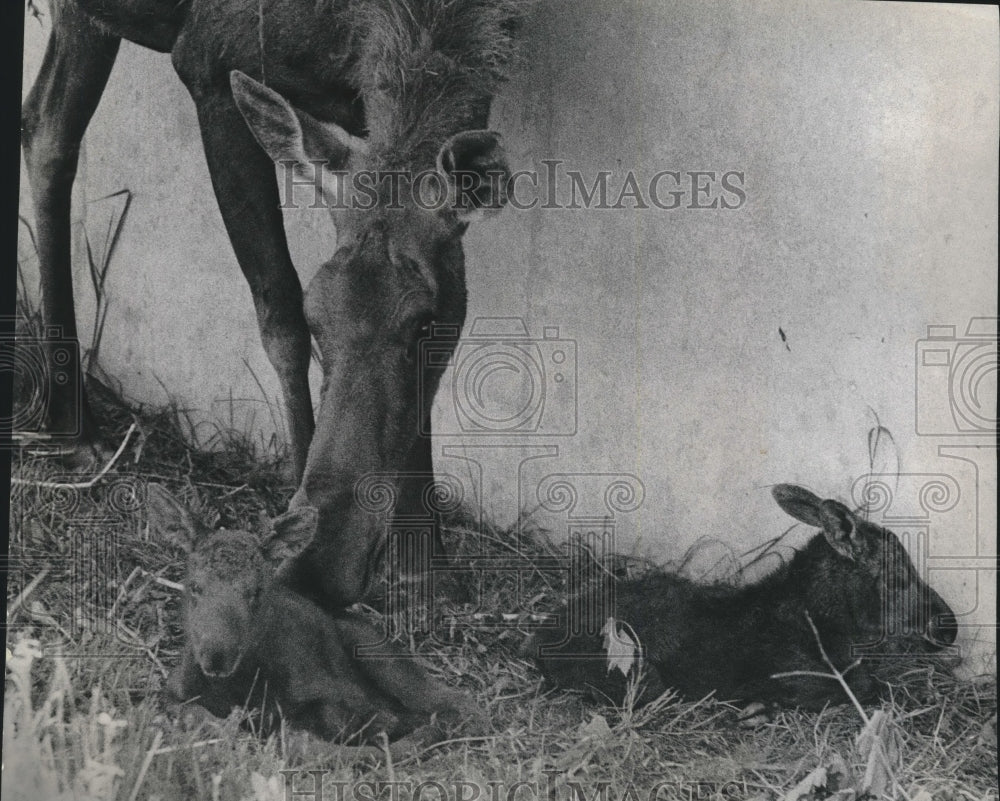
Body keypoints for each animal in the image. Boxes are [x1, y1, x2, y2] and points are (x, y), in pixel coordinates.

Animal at [23, 0, 528, 604]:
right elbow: (278, 312)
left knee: (42, 125)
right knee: (50, 130)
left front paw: (423, 560)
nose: (328, 558)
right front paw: (299, 514)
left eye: (426, 321)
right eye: (318, 316)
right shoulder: (208, 63)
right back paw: (78, 432)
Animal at [148, 484, 484, 752]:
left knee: (458, 704)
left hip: (382, 658)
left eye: (257, 590)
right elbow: (205, 719)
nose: (217, 656)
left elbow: (306, 736)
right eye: (195, 586)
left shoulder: (333, 696)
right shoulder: (173, 692)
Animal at [528, 484, 956, 708]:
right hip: (642, 676)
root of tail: (540, 640)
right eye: (898, 577)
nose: (948, 626)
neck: (827, 625)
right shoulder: (812, 680)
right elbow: (867, 688)